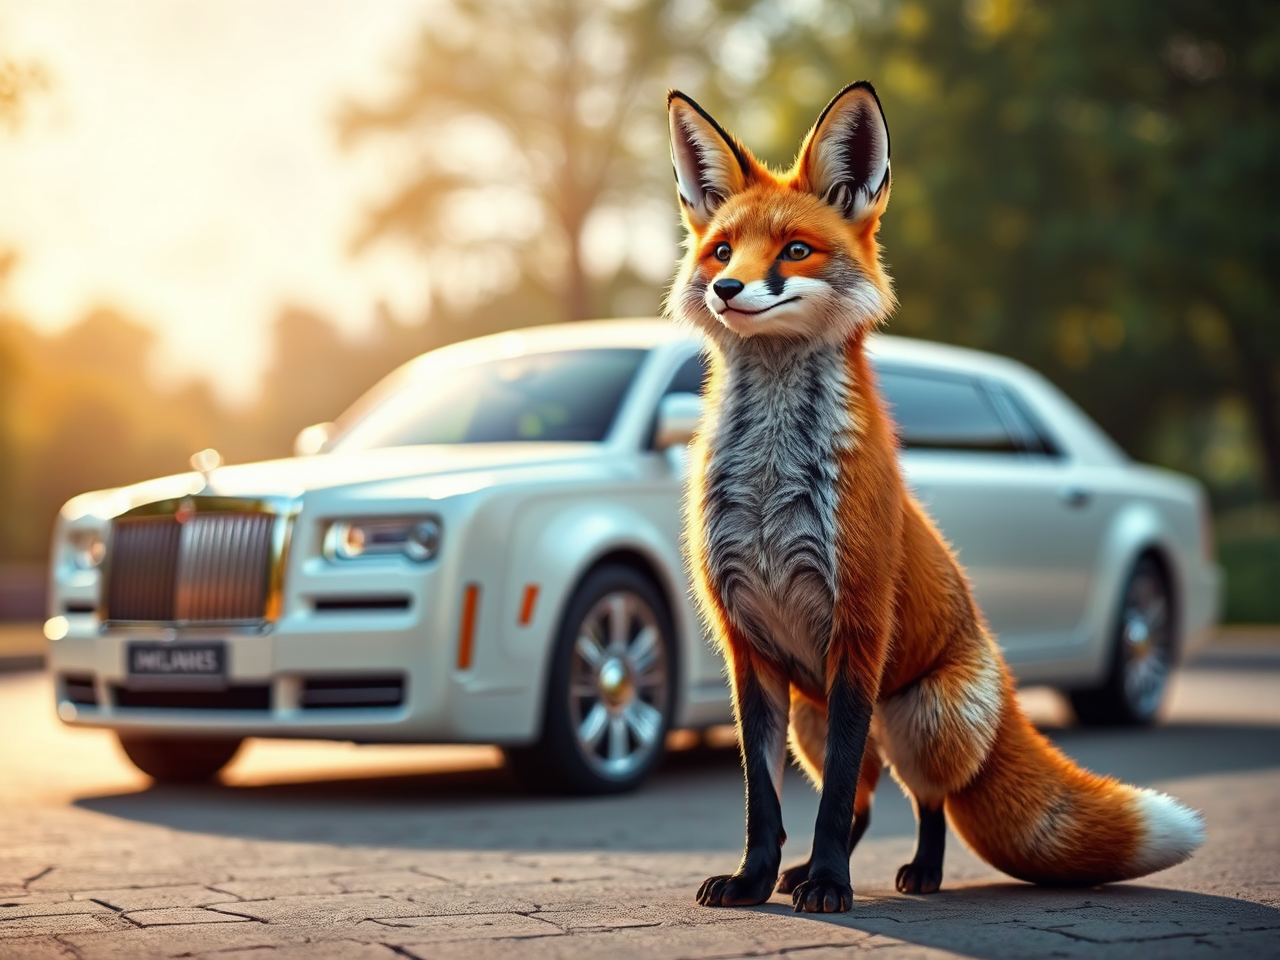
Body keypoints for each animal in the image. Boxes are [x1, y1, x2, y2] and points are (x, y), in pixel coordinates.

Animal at [665, 82, 1204, 914]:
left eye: (795, 250)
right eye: (721, 250)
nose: (727, 288)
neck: (770, 486)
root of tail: (1002, 674)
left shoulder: (856, 628)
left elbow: (826, 806)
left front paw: (829, 885)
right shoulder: (745, 645)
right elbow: (766, 802)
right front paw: (755, 879)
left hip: (920, 719)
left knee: (925, 800)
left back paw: (913, 872)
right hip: (813, 724)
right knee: (863, 801)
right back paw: (800, 874)